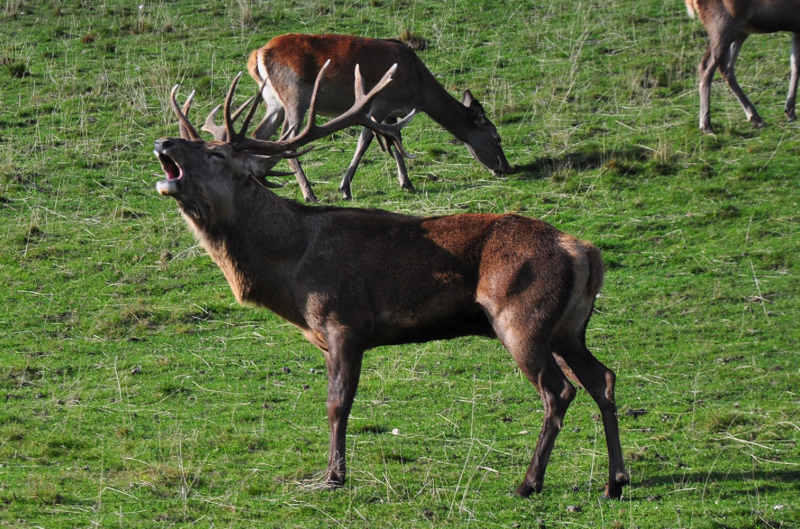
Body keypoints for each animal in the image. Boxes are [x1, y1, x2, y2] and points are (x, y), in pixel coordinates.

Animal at [153, 64, 628, 498]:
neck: (290, 269)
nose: (163, 142)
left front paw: (334, 477)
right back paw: (615, 481)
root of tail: (584, 251)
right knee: (603, 378)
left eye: (216, 155)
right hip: (567, 329)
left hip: (521, 318)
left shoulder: (345, 320)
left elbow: (337, 404)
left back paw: (529, 482)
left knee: (559, 391)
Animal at [247, 33, 512, 201]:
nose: (506, 169)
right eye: (496, 137)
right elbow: (365, 140)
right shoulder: (380, 103)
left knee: (258, 134)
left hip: (274, 103)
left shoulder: (394, 113)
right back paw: (309, 193)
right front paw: (345, 188)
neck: (420, 89)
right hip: (295, 95)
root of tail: (256, 55)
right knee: (286, 140)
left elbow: (396, 141)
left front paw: (407, 182)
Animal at [688, 0, 800, 133]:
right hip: (723, 24)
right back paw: (706, 124)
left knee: (725, 66)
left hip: (739, 30)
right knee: (707, 67)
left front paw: (790, 112)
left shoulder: (797, 28)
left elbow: (795, 65)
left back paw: (756, 118)